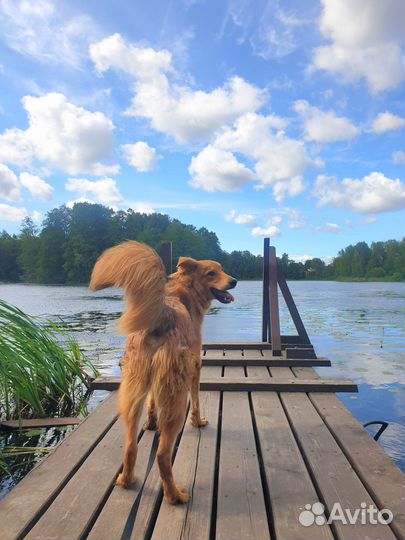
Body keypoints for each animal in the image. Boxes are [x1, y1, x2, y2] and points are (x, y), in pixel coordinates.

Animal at [88, 243, 234, 504]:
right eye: (211, 273)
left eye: (221, 269)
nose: (235, 281)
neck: (182, 295)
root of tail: (162, 314)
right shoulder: (196, 366)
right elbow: (197, 401)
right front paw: (198, 422)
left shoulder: (153, 385)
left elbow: (152, 402)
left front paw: (151, 422)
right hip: (176, 397)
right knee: (163, 455)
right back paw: (175, 495)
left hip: (134, 389)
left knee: (130, 446)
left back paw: (127, 480)